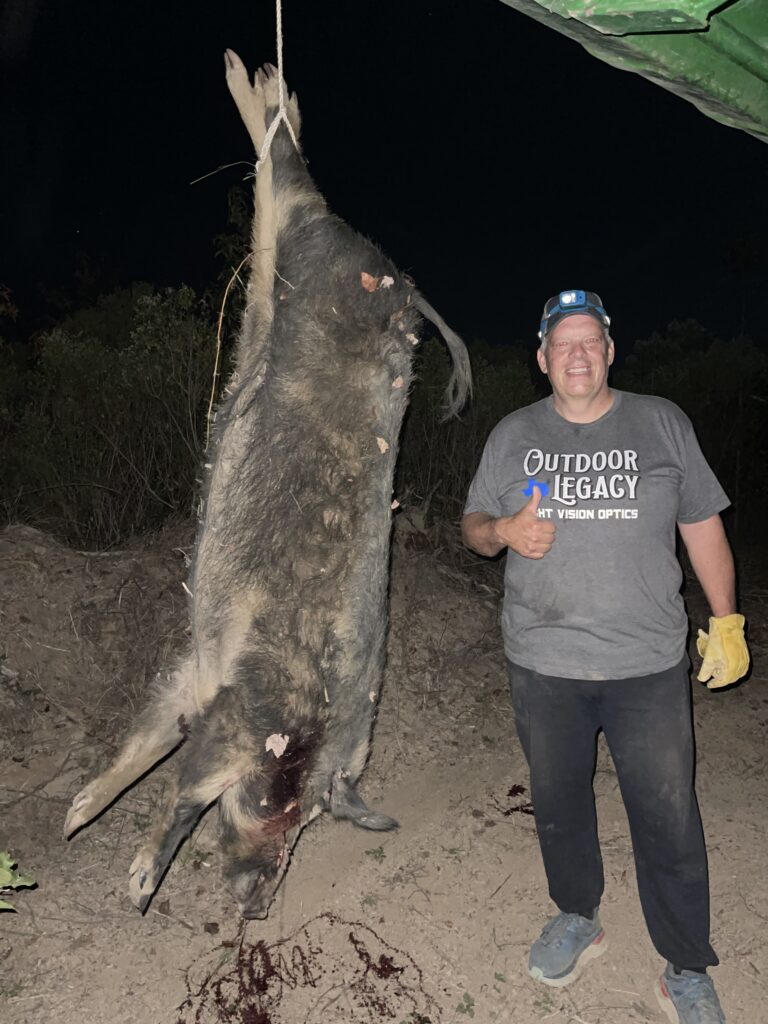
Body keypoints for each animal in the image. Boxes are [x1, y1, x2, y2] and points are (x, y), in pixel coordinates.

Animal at [64, 53, 471, 919]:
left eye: (313, 825)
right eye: (283, 808)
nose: (256, 905)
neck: (306, 719)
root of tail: (395, 275)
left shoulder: (198, 677)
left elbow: (153, 734)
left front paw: (75, 818)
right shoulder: (242, 709)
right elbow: (184, 786)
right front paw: (136, 883)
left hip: (290, 241)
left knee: (279, 171)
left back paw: (260, 82)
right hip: (314, 244)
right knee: (287, 173)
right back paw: (255, 81)